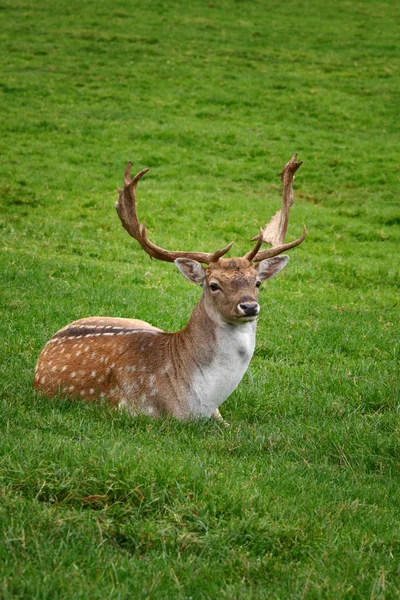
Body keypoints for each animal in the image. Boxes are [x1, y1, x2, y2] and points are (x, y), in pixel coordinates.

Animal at [36, 157, 306, 424]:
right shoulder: (132, 411)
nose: (249, 306)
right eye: (214, 285)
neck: (199, 402)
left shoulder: (218, 415)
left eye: (257, 282)